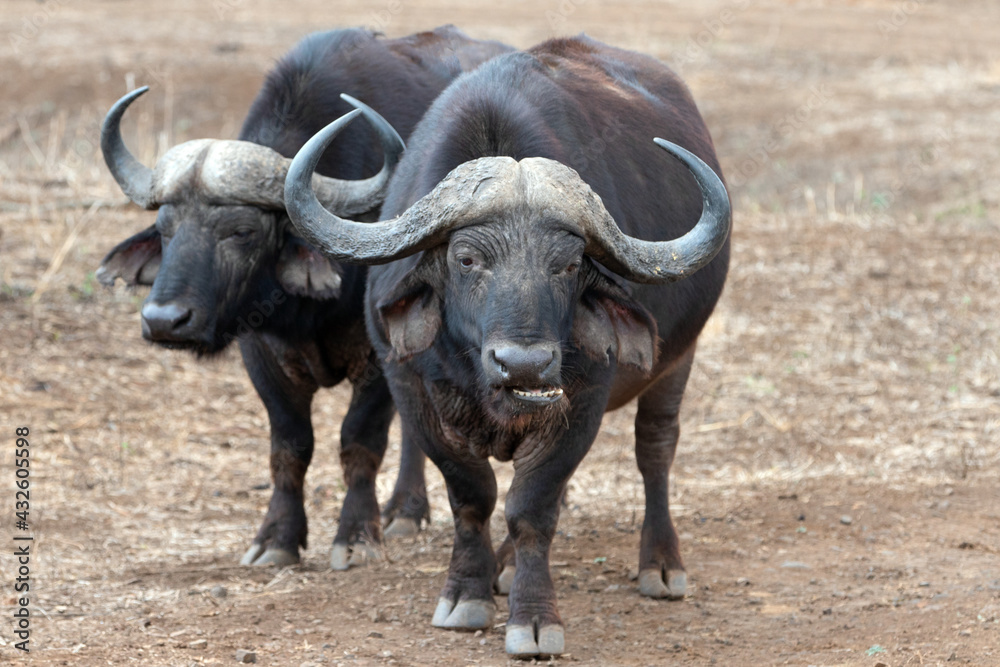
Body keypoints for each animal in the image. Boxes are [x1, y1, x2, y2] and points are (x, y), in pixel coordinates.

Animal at [96, 26, 512, 568]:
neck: (309, 313)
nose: (165, 320)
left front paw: (356, 536)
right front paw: (276, 538)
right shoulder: (262, 354)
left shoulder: (378, 358)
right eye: (166, 229)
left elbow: (359, 441)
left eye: (243, 231)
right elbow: (289, 446)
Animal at [286, 36, 732, 656]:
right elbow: (473, 494)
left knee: (655, 451)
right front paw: (466, 595)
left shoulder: (581, 402)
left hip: (677, 363)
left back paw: (660, 564)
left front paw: (535, 619)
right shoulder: (411, 391)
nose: (524, 363)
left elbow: (532, 506)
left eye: (568, 264)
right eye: (467, 258)